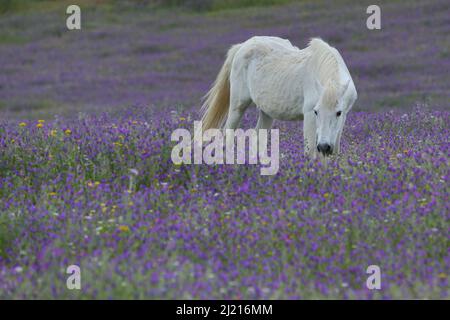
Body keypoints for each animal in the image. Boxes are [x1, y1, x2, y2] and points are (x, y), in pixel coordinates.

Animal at [200, 36, 358, 158]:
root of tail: (242, 46)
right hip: (237, 107)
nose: (324, 146)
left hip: (266, 113)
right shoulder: (309, 117)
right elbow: (310, 152)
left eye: (338, 113)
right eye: (316, 111)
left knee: (258, 139)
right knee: (228, 135)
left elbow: (333, 152)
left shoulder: (342, 121)